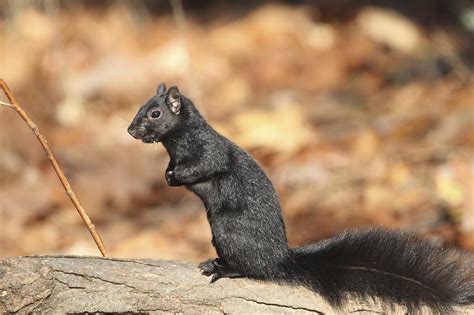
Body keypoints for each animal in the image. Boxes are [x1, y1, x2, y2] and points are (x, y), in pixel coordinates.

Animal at [129, 82, 474, 314]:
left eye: (155, 113)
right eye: (141, 107)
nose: (131, 131)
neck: (178, 141)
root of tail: (280, 259)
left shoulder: (209, 151)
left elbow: (206, 165)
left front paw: (176, 176)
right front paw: (168, 174)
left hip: (229, 231)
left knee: (253, 269)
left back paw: (223, 268)